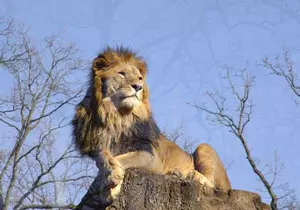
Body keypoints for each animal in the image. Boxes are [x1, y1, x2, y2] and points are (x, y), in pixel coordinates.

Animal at [71, 46, 231, 203]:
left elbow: (123, 158)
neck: (117, 116)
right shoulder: (95, 144)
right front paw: (109, 180)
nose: (138, 86)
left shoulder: (152, 157)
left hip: (204, 148)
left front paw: (113, 181)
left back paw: (191, 175)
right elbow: (104, 158)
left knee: (210, 183)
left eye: (140, 78)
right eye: (121, 73)